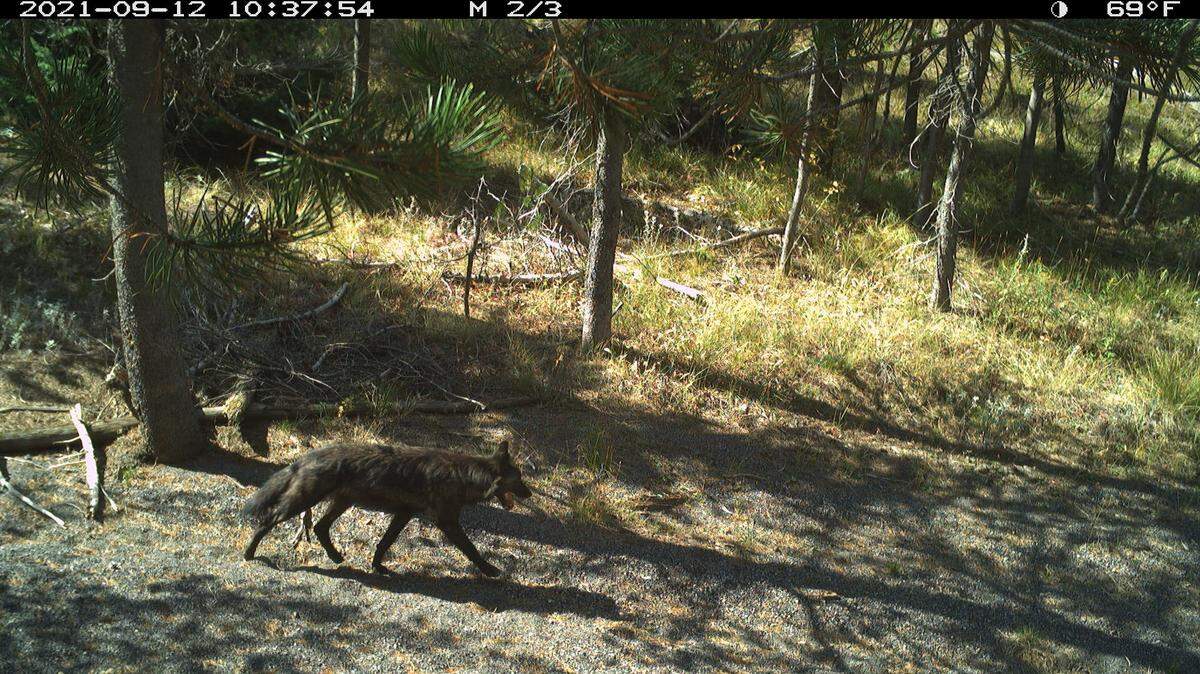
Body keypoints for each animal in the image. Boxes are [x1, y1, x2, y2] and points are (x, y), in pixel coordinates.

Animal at [242, 439, 532, 577]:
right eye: (519, 480)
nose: (529, 493)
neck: (464, 475)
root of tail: (307, 456)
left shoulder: (404, 514)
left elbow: (384, 542)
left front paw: (377, 566)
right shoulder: (447, 523)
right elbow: (472, 550)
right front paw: (490, 570)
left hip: (342, 503)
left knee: (321, 528)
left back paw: (336, 557)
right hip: (302, 502)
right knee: (267, 519)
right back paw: (249, 553)